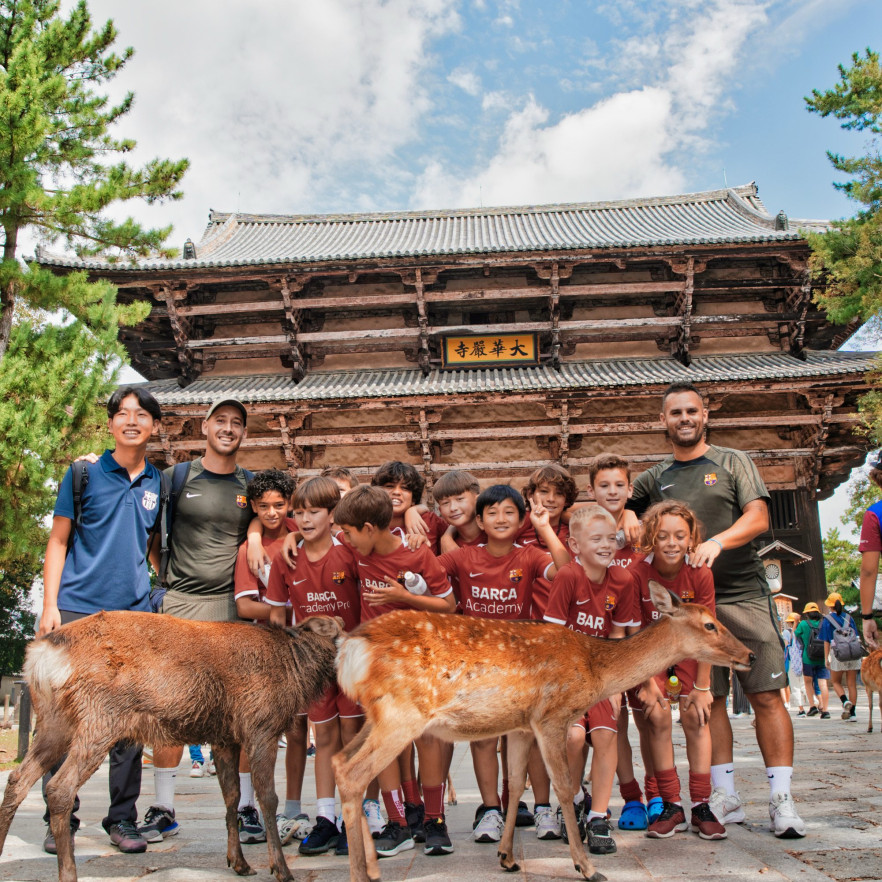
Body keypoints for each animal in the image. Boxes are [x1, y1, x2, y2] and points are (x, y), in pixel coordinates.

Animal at [0, 611, 342, 882]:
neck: (294, 672)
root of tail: (40, 655)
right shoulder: (261, 725)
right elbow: (268, 798)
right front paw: (281, 869)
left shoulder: (225, 737)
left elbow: (231, 796)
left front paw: (239, 863)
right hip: (99, 717)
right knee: (59, 787)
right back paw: (68, 873)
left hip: (55, 722)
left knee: (17, 779)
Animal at [332, 581, 754, 882]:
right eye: (710, 624)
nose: (748, 655)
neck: (593, 668)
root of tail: (349, 649)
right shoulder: (551, 715)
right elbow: (564, 787)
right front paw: (587, 868)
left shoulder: (521, 724)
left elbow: (516, 783)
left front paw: (506, 859)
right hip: (402, 713)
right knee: (354, 773)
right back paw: (359, 874)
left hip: (377, 715)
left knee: (339, 760)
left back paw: (372, 868)